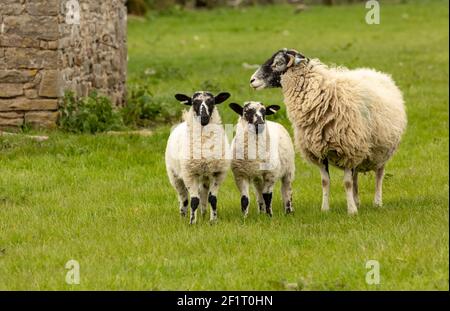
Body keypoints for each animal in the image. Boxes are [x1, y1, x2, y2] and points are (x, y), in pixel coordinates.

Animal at [164, 90, 232, 224]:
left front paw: (213, 221)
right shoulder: (189, 174)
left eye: (212, 101)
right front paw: (192, 222)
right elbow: (194, 200)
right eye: (194, 102)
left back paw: (203, 213)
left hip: (204, 176)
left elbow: (213, 199)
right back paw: (183, 215)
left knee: (203, 194)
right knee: (184, 198)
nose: (204, 118)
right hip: (175, 176)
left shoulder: (218, 173)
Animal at [250, 48, 408, 216]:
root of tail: (375, 72)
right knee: (356, 176)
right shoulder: (320, 152)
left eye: (278, 62)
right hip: (360, 149)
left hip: (381, 151)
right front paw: (326, 209)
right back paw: (357, 201)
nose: (252, 80)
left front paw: (351, 211)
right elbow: (325, 182)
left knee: (379, 175)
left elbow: (347, 182)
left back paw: (377, 202)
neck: (318, 94)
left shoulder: (348, 149)